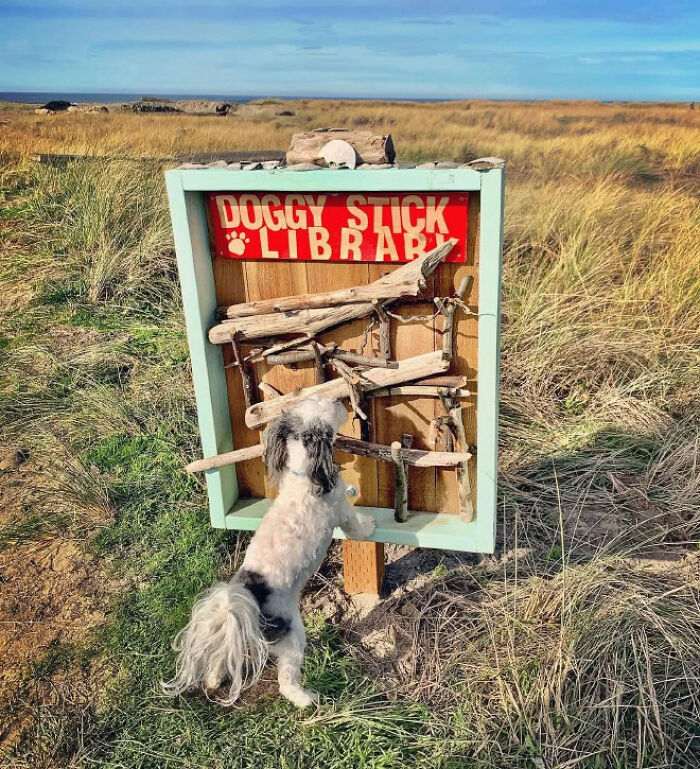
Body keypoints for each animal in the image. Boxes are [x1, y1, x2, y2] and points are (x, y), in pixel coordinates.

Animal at [161, 396, 374, 708]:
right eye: (327, 408)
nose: (338, 399)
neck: (301, 477)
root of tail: (246, 596)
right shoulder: (342, 511)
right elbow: (356, 525)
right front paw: (369, 525)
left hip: (234, 631)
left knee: (221, 655)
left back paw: (213, 679)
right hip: (292, 636)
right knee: (287, 681)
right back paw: (306, 699)